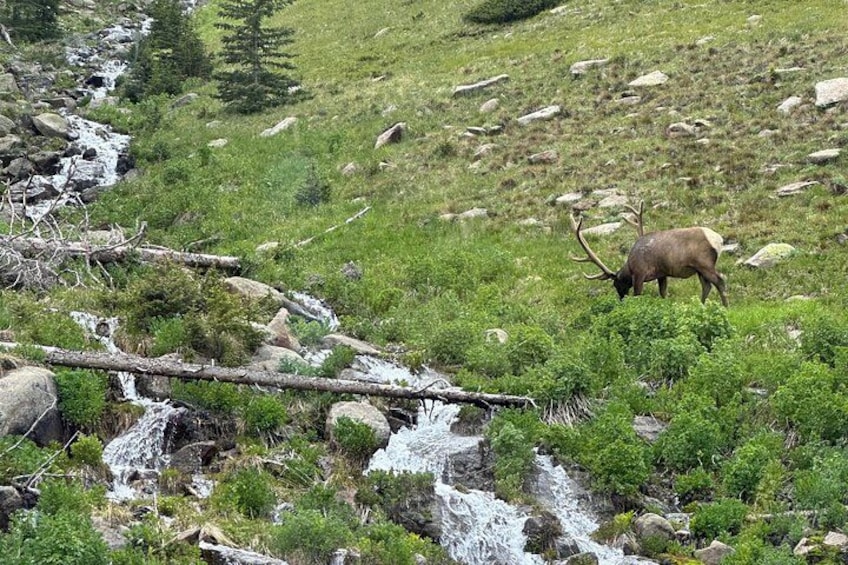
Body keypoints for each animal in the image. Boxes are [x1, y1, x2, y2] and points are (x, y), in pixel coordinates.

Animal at [570, 202, 728, 306]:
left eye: (616, 283)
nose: (621, 299)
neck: (630, 266)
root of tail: (719, 240)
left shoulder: (640, 273)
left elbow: (637, 294)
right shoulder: (662, 274)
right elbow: (663, 293)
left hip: (704, 263)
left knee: (720, 281)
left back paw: (726, 307)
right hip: (698, 269)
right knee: (707, 286)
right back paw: (701, 305)